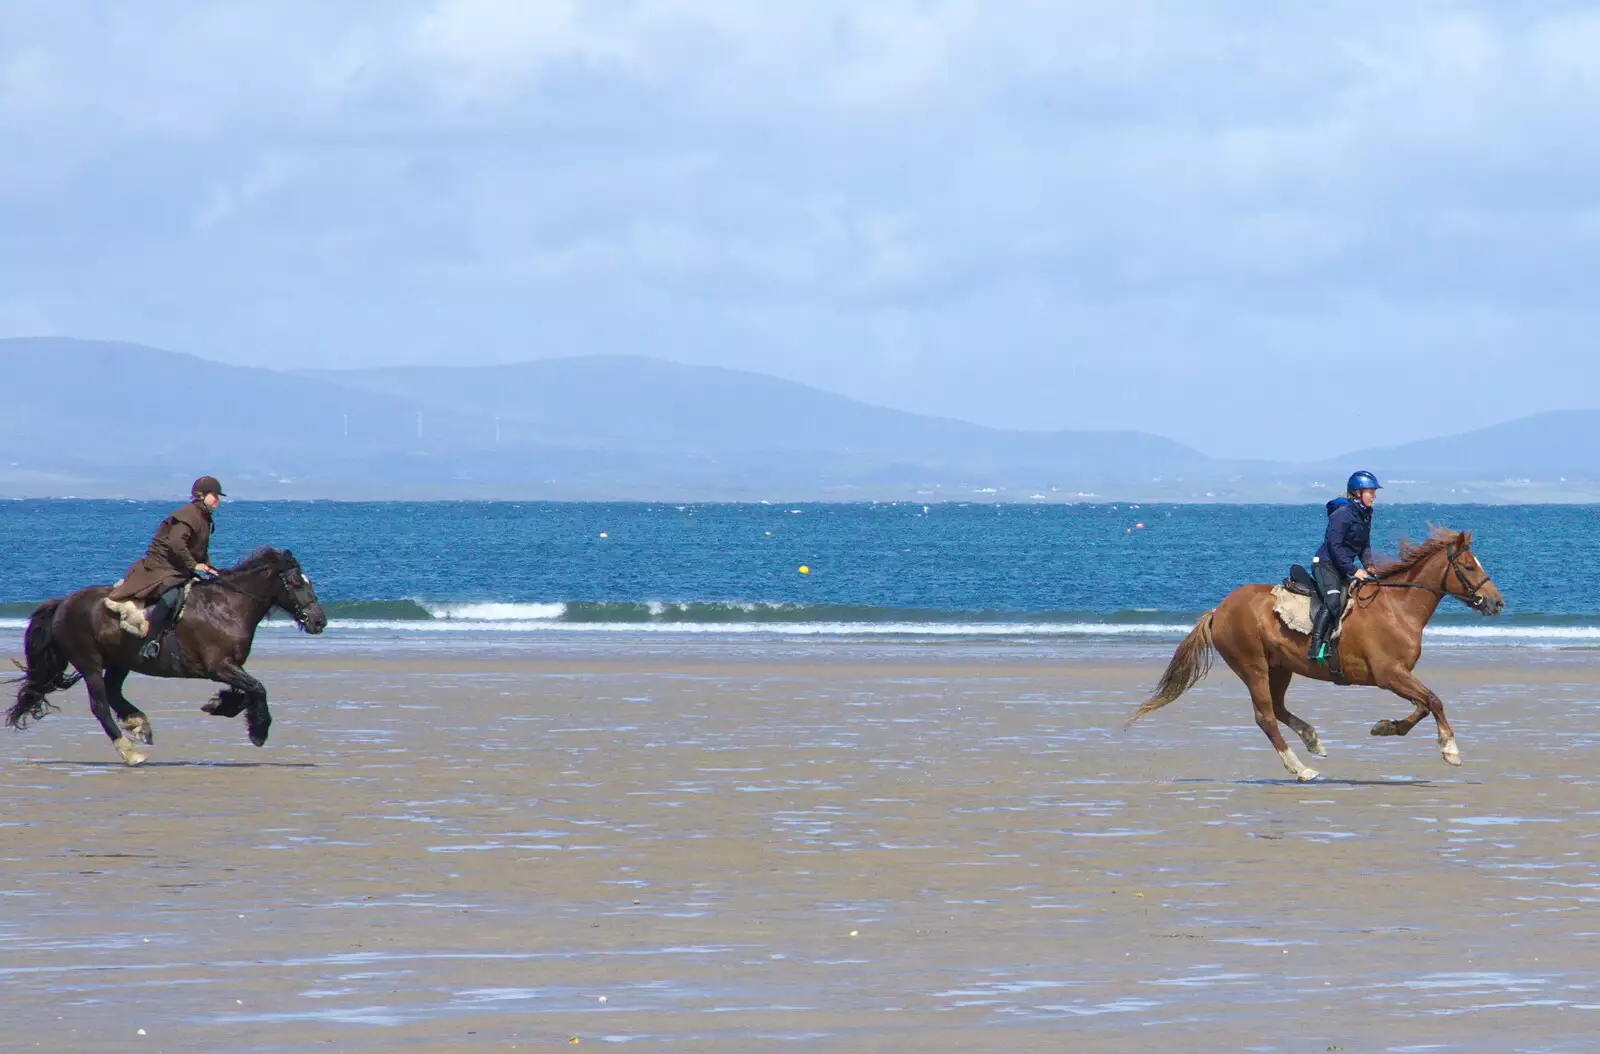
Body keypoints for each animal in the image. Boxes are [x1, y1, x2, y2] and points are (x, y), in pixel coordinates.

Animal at [7, 546, 328, 761]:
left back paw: (139, 725)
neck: (228, 606)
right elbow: (258, 688)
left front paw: (220, 704)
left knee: (113, 693)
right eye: (296, 583)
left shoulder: (230, 666)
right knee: (100, 705)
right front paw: (259, 731)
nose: (319, 621)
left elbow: (247, 692)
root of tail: (63, 603)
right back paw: (130, 752)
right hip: (90, 663)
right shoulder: (219, 666)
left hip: (121, 661)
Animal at [1132, 527, 1504, 783]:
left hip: (1280, 667)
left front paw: (1386, 727)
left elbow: (1423, 705)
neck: (1397, 608)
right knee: (1265, 717)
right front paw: (1450, 750)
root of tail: (1219, 610)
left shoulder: (1398, 675)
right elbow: (1434, 701)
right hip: (1253, 666)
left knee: (1278, 709)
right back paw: (1301, 768)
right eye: (1469, 566)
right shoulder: (1389, 675)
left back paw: (1312, 741)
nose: (1497, 603)